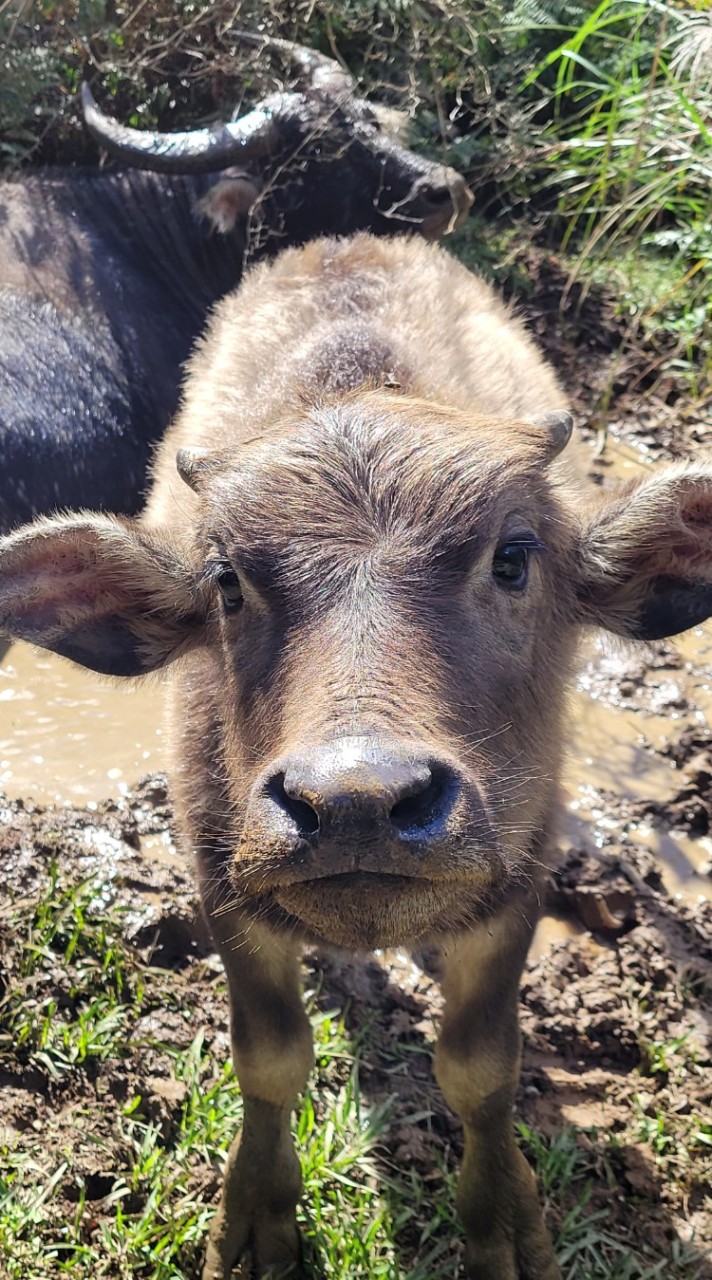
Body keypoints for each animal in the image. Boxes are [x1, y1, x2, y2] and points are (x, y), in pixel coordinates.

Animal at [1, 232, 712, 1280]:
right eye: (226, 581)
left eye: (514, 558)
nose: (357, 802)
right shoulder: (222, 882)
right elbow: (269, 1057)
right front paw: (257, 1216)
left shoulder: (519, 878)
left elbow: (480, 1067)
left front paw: (502, 1219)